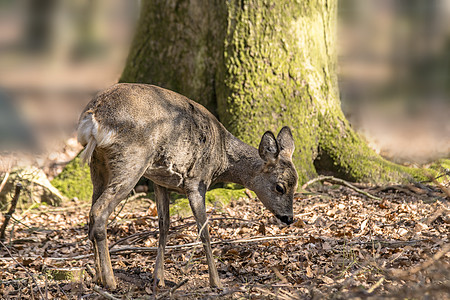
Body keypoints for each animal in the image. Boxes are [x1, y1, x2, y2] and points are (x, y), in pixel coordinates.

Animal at [76, 83, 298, 290]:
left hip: (98, 164)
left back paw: (97, 277)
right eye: (280, 187)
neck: (221, 158)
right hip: (132, 160)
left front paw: (159, 278)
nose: (289, 218)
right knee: (99, 212)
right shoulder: (196, 181)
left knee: (91, 214)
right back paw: (110, 281)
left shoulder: (159, 181)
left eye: (295, 184)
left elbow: (164, 225)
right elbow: (204, 230)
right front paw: (216, 282)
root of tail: (94, 115)